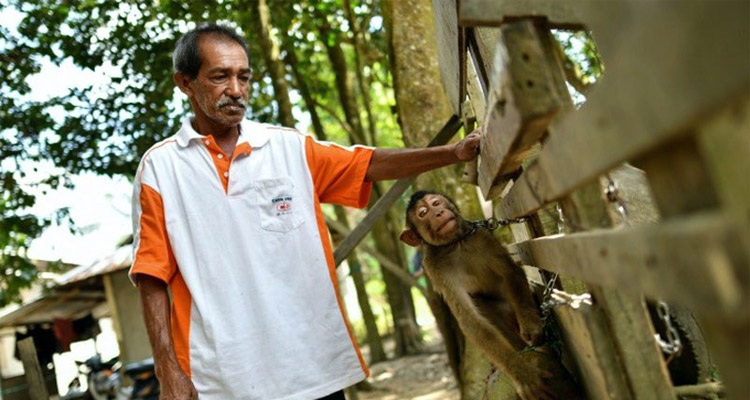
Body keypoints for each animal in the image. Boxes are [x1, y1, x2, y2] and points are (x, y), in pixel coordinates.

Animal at [400, 191, 580, 400]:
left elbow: (510, 272)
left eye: (436, 203)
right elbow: (470, 319)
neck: (456, 243)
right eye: (423, 213)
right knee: (481, 303)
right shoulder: (434, 267)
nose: (438, 213)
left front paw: (531, 325)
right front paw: (520, 371)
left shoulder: (482, 236)